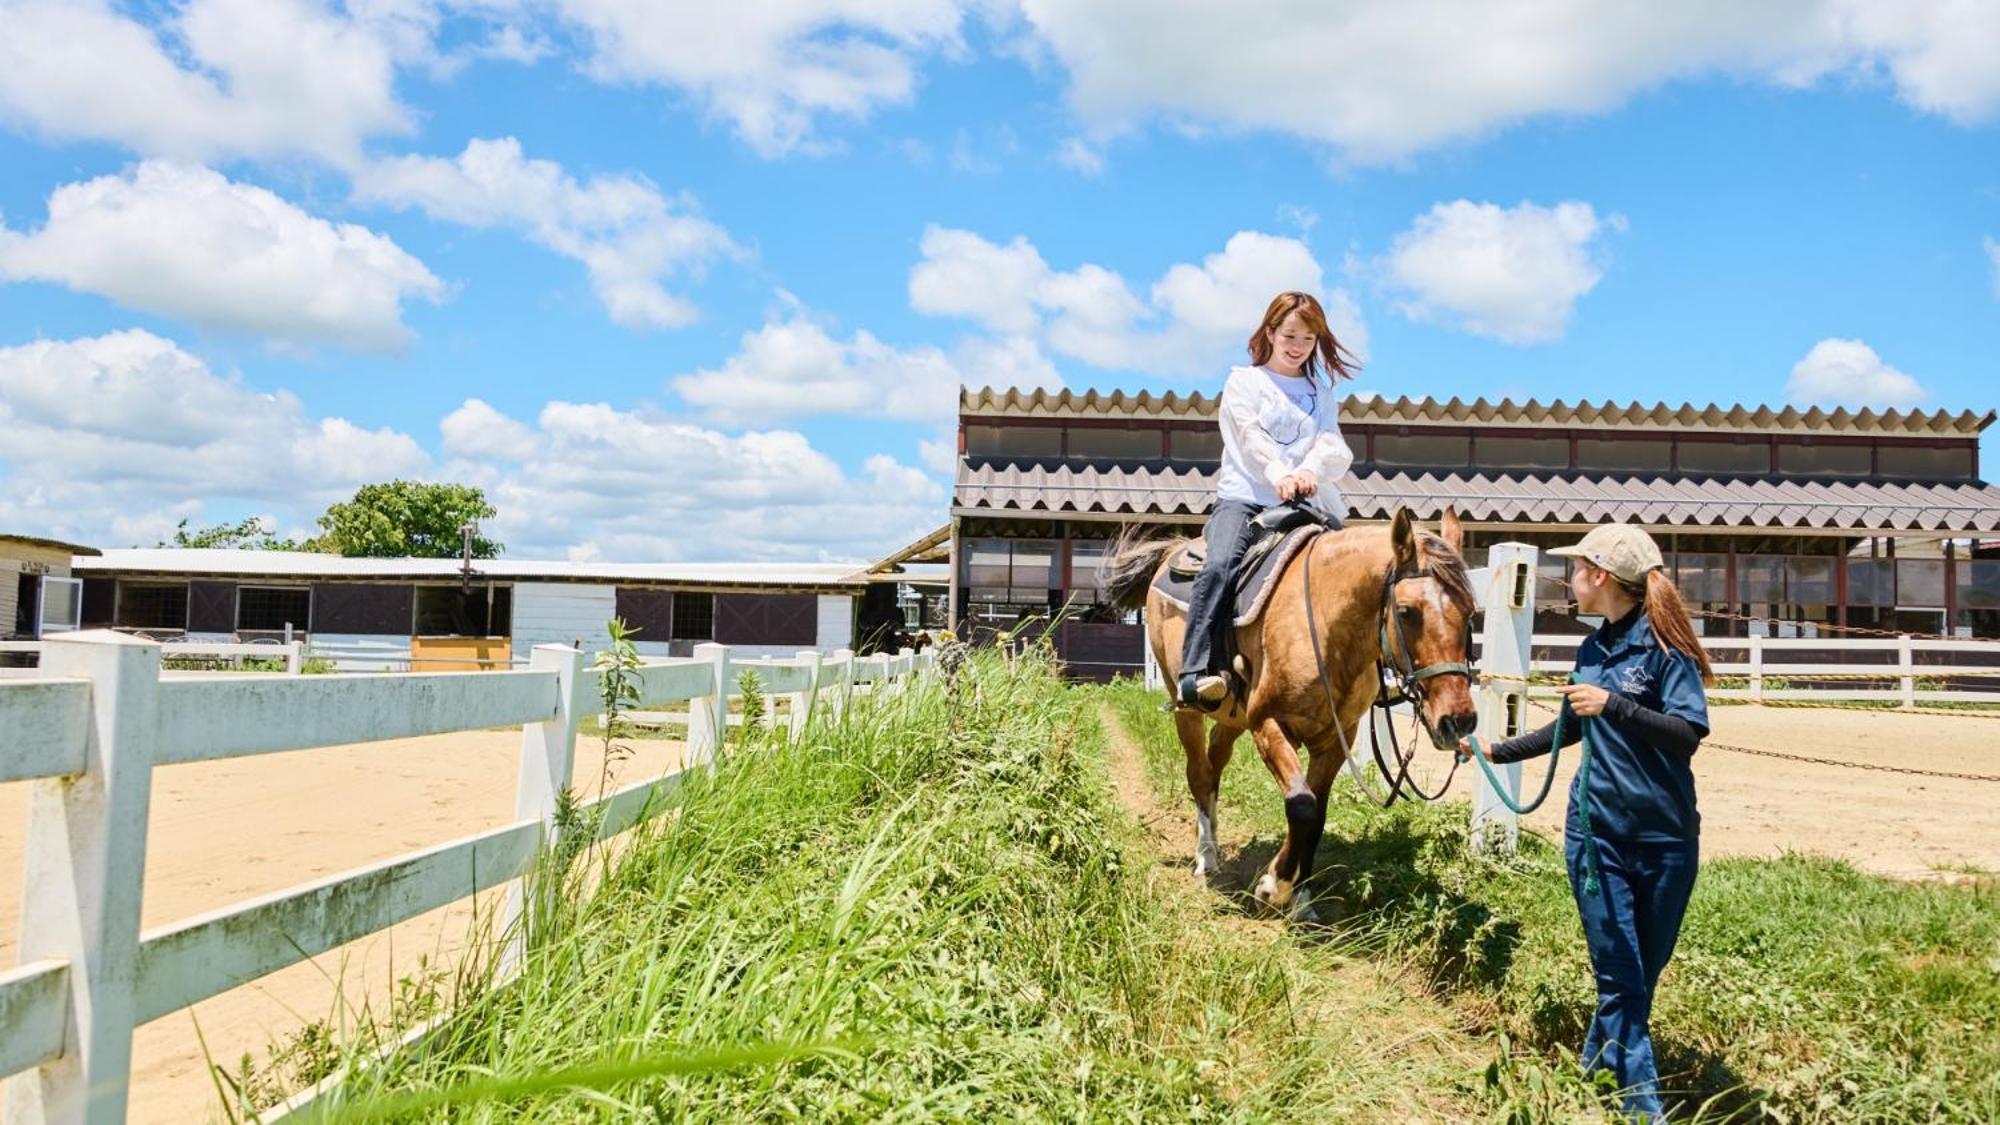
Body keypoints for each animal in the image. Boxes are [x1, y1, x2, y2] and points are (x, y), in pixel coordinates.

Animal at [1104, 508, 1480, 920]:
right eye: (1406, 611)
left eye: (1470, 611)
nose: (1458, 720)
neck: (1324, 624)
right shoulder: (1268, 723)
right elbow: (1302, 806)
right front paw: (1274, 886)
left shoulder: (1337, 738)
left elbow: (1317, 816)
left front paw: (1302, 900)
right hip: (1185, 706)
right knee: (1199, 774)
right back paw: (1206, 858)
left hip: (1232, 718)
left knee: (1215, 764)